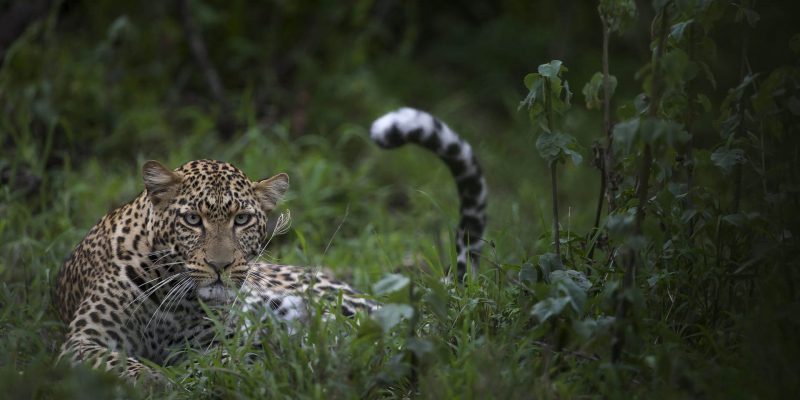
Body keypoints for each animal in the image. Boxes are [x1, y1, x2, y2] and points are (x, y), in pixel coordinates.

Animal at [53, 108, 488, 382]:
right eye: (192, 220)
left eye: (242, 220)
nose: (221, 266)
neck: (172, 295)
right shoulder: (83, 341)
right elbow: (123, 364)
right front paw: (157, 381)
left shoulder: (215, 342)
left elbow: (221, 360)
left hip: (340, 305)